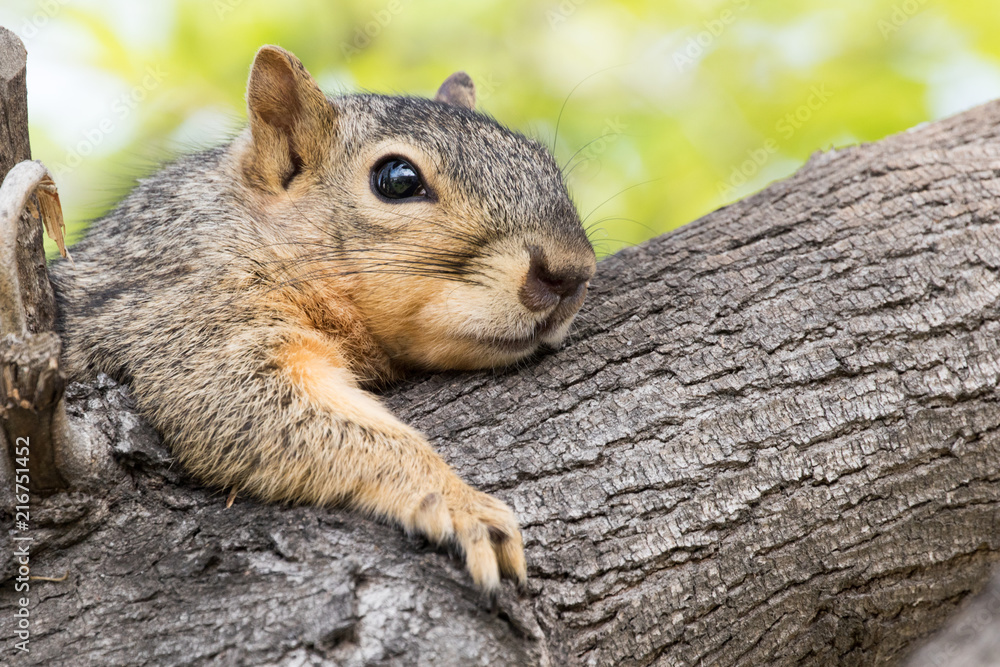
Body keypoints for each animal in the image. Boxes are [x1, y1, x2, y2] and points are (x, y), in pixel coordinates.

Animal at [50, 45, 596, 592]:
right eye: (398, 179)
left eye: (541, 158)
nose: (571, 273)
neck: (253, 233)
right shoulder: (184, 314)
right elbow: (242, 403)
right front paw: (461, 505)